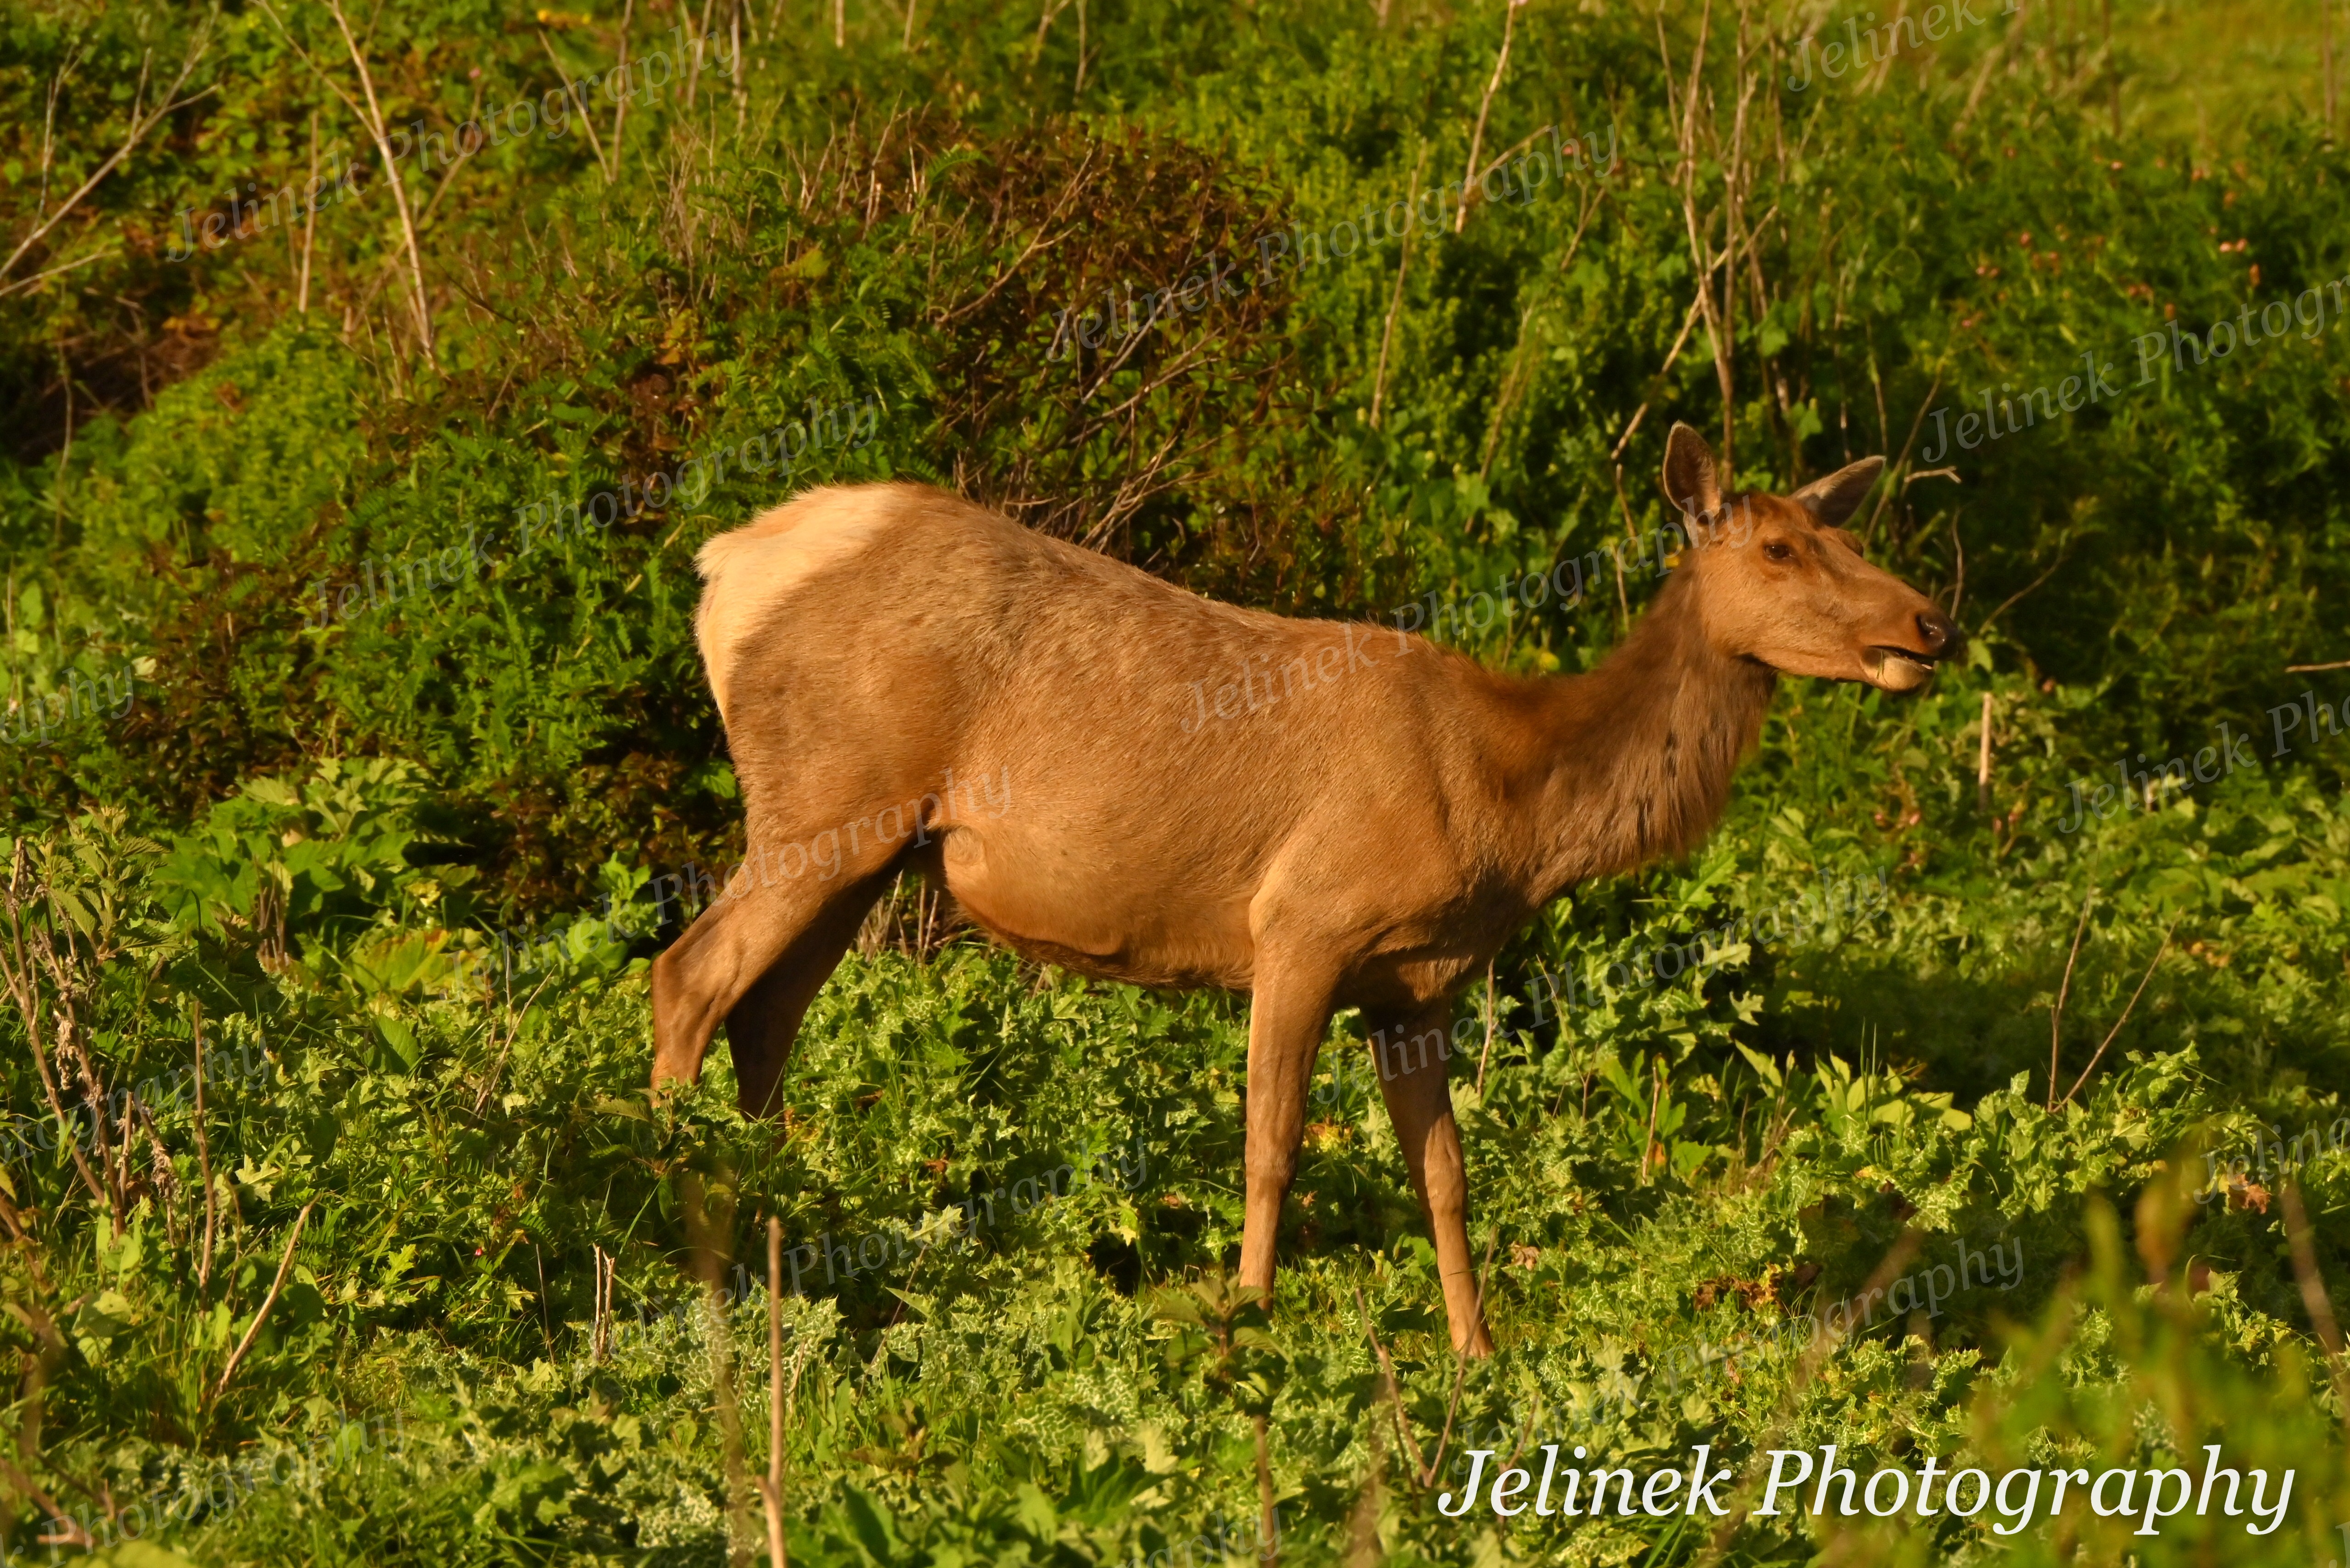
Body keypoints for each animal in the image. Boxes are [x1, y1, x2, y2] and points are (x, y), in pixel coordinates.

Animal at [650, 423, 1955, 1354]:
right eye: (1778, 549)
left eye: (1840, 532)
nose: (1928, 622)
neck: (1512, 802)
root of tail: (724, 568)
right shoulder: (1304, 924)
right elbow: (1272, 1141)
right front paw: (1250, 1314)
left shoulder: (1415, 983)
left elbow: (1445, 1173)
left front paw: (1476, 1351)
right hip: (826, 798)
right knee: (688, 975)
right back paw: (673, 1208)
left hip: (870, 845)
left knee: (767, 1016)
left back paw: (784, 1220)